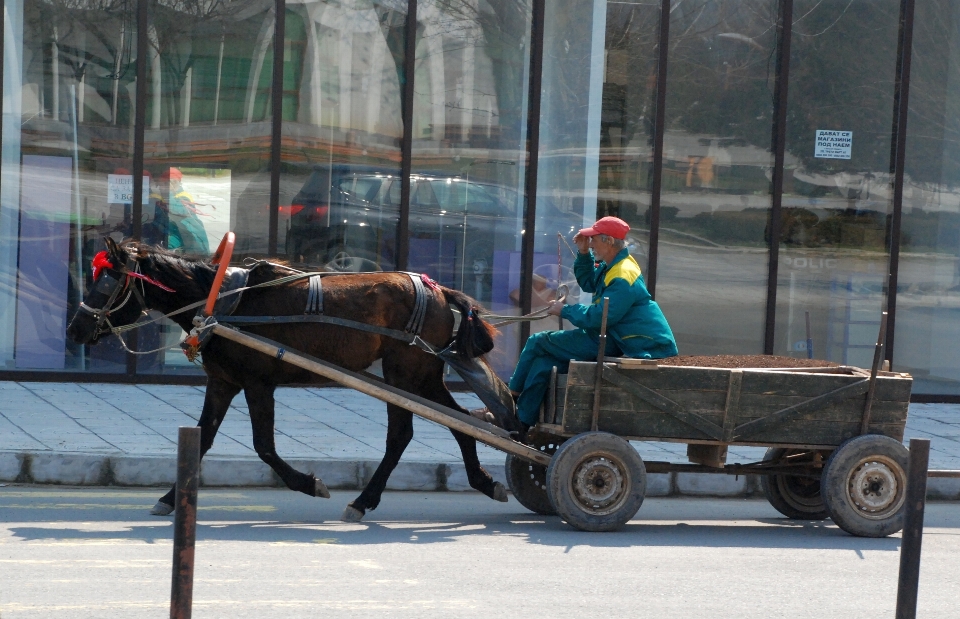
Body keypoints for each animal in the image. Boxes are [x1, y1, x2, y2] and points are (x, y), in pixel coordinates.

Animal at [68, 240, 520, 520]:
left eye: (107, 283)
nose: (74, 330)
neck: (221, 302)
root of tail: (440, 290)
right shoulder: (223, 382)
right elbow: (202, 440)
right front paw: (169, 498)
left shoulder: (257, 383)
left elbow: (264, 446)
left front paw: (309, 483)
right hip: (420, 375)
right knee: (460, 422)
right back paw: (482, 481)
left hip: (406, 373)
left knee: (410, 433)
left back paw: (363, 500)